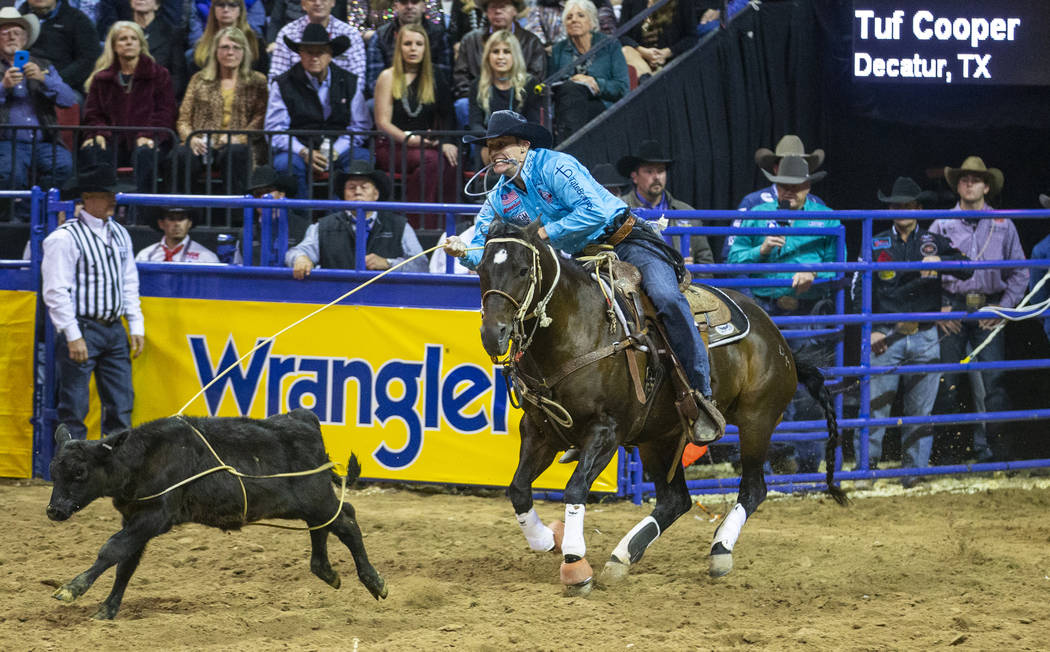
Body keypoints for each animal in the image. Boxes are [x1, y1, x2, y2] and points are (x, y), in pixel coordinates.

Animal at [476, 219, 844, 596]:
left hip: (757, 421)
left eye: (523, 270)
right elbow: (518, 489)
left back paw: (720, 549)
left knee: (753, 488)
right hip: (658, 438)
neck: (578, 330)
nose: (493, 334)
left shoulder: (605, 432)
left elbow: (575, 488)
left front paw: (575, 564)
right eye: (481, 269)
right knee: (674, 500)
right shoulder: (540, 431)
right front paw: (547, 539)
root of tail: (780, 340)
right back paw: (621, 557)